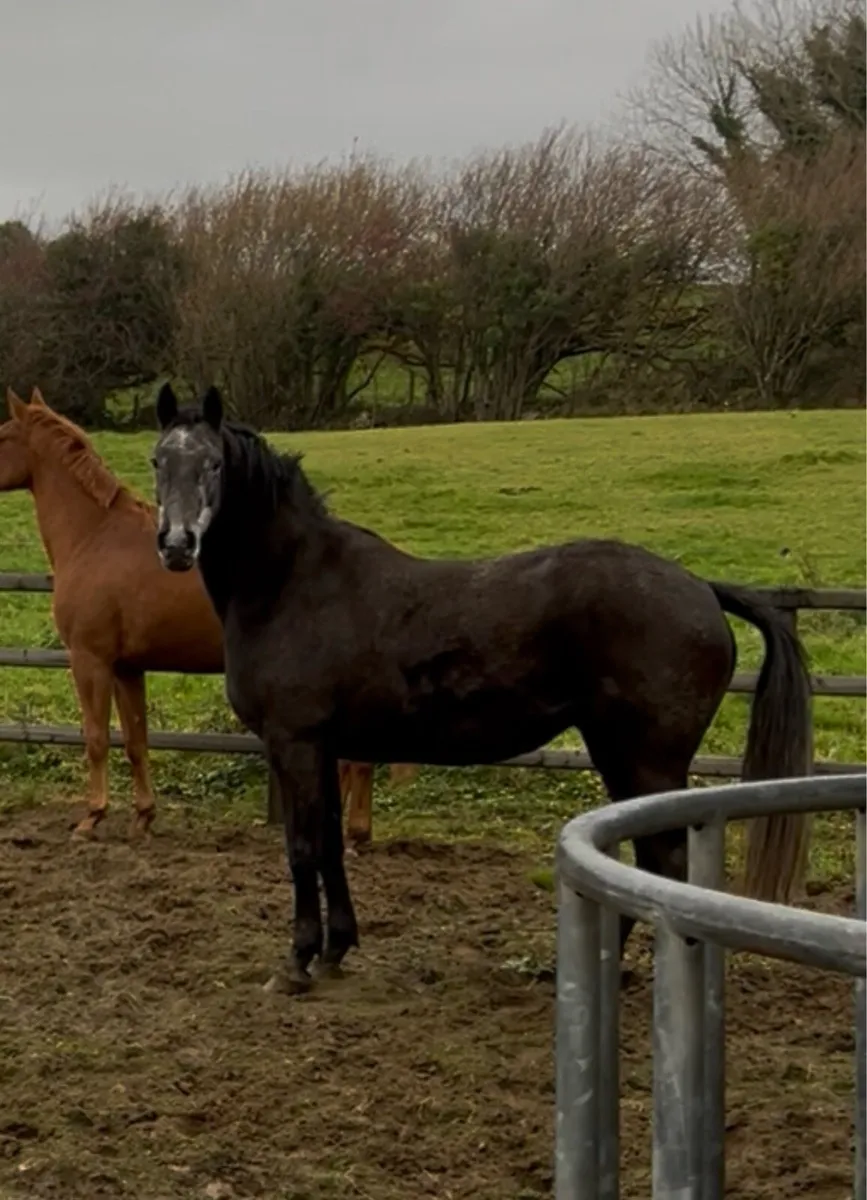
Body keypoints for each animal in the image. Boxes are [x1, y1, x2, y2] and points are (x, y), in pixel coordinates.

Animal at [0, 389, 415, 840]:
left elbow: (96, 739)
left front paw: (92, 817)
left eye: (2, 434)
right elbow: (136, 741)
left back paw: (355, 835)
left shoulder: (90, 660)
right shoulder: (127, 667)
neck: (95, 535)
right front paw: (142, 816)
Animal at [151, 383, 812, 995]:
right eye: (159, 460)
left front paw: (297, 962)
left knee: (662, 863)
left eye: (212, 464)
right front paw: (337, 949)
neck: (293, 582)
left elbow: (303, 850)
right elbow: (332, 846)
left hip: (645, 759)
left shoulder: (295, 744)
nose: (177, 544)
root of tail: (700, 587)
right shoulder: (326, 749)